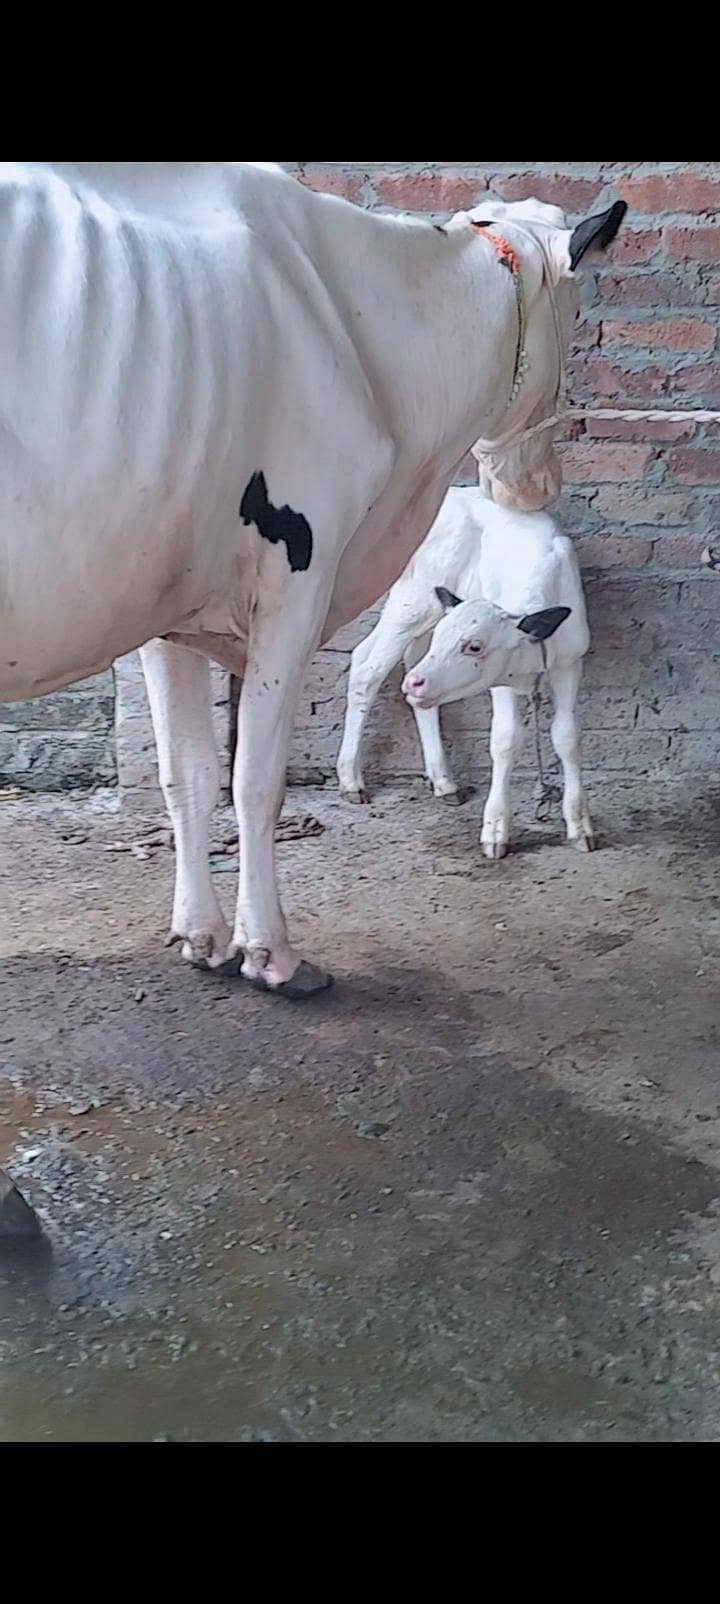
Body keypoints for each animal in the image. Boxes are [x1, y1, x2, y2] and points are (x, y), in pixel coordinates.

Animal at [337, 486, 593, 857]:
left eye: (474, 646)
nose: (415, 684)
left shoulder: (570, 663)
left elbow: (567, 738)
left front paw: (579, 825)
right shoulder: (499, 680)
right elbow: (505, 740)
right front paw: (496, 829)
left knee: (410, 663)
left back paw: (443, 781)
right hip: (413, 601)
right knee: (367, 667)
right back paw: (350, 779)